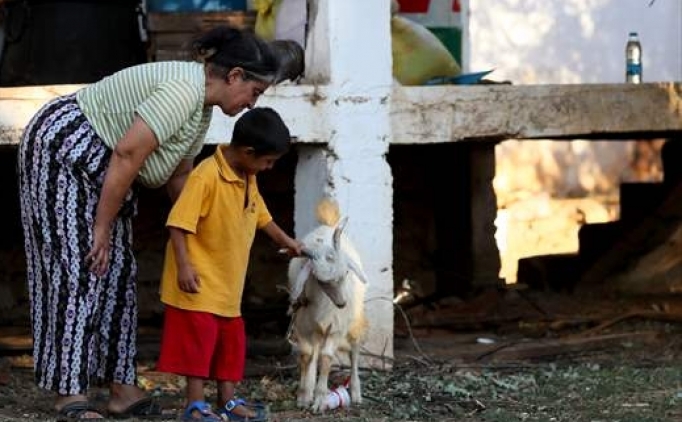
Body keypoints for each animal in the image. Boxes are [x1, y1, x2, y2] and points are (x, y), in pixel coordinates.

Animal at [288, 198, 370, 412]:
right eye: (320, 281)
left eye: (346, 273)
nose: (342, 303)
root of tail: (328, 224)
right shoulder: (303, 325)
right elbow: (307, 355)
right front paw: (304, 396)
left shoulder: (335, 327)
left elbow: (326, 358)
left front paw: (319, 400)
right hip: (314, 327)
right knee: (314, 352)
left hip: (354, 321)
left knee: (354, 352)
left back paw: (356, 393)